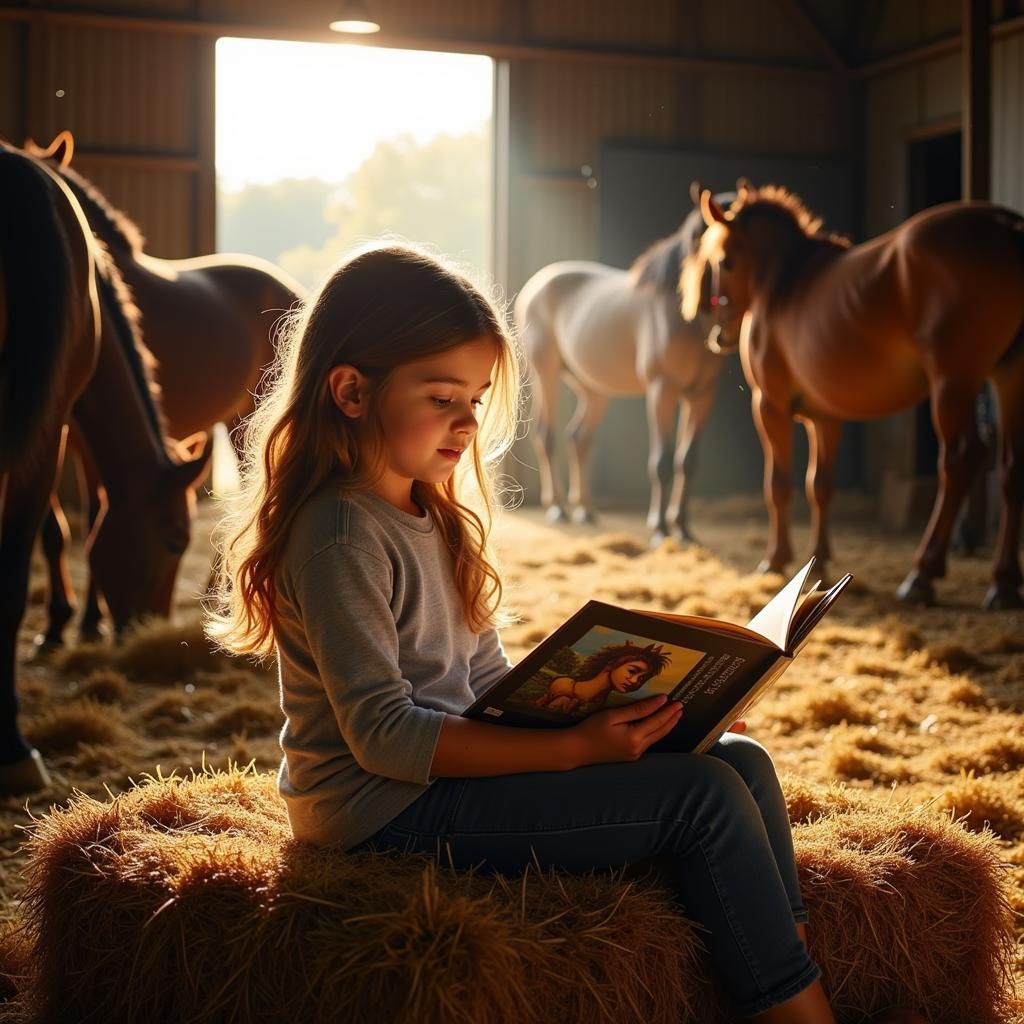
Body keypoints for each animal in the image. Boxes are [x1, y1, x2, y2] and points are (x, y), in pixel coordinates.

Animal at [28, 132, 303, 643]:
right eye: (172, 540)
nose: (144, 622)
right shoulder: (63, 430)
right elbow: (61, 526)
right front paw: (66, 623)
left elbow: (88, 517)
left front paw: (80, 621)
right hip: (237, 418)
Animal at [516, 191, 733, 544]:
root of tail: (537, 284)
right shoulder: (661, 390)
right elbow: (661, 461)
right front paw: (659, 529)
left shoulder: (702, 396)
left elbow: (686, 461)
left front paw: (683, 530)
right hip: (544, 374)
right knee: (546, 436)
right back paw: (559, 508)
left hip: (592, 389)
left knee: (579, 438)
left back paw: (585, 510)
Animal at [679, 184, 1024, 606]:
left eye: (724, 262)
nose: (718, 334)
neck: (782, 284)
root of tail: (1006, 226)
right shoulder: (825, 417)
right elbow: (820, 485)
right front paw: (818, 561)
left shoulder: (769, 405)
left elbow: (779, 483)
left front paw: (775, 559)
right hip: (1010, 377)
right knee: (1012, 470)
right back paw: (1003, 583)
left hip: (953, 383)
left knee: (961, 460)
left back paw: (922, 575)